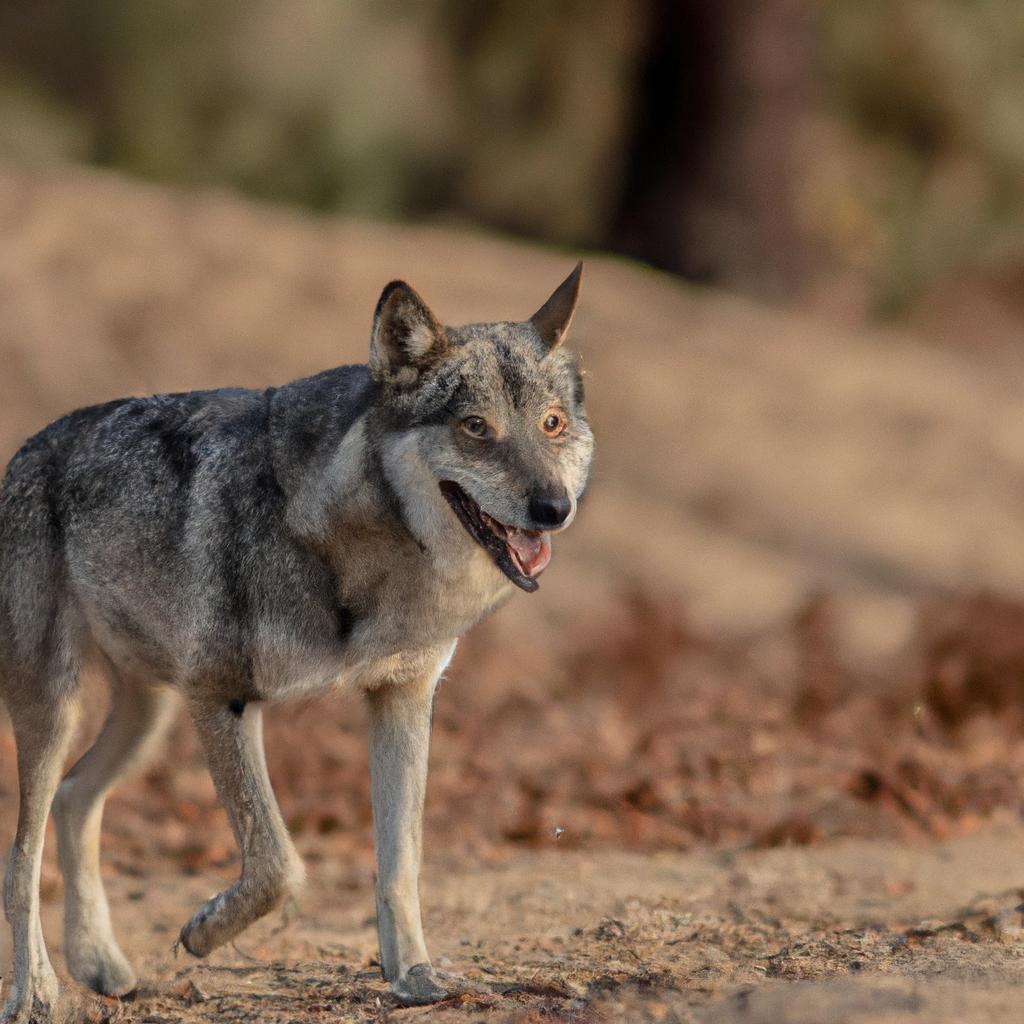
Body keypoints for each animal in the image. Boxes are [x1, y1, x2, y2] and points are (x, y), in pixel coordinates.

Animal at [0, 264, 593, 1015]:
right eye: (475, 428)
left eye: (552, 424)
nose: (553, 509)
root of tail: (24, 450)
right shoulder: (221, 699)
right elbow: (279, 862)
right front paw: (204, 931)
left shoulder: (402, 699)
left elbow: (401, 863)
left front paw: (414, 978)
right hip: (60, 711)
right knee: (21, 856)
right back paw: (37, 992)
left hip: (148, 717)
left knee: (77, 797)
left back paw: (99, 963)